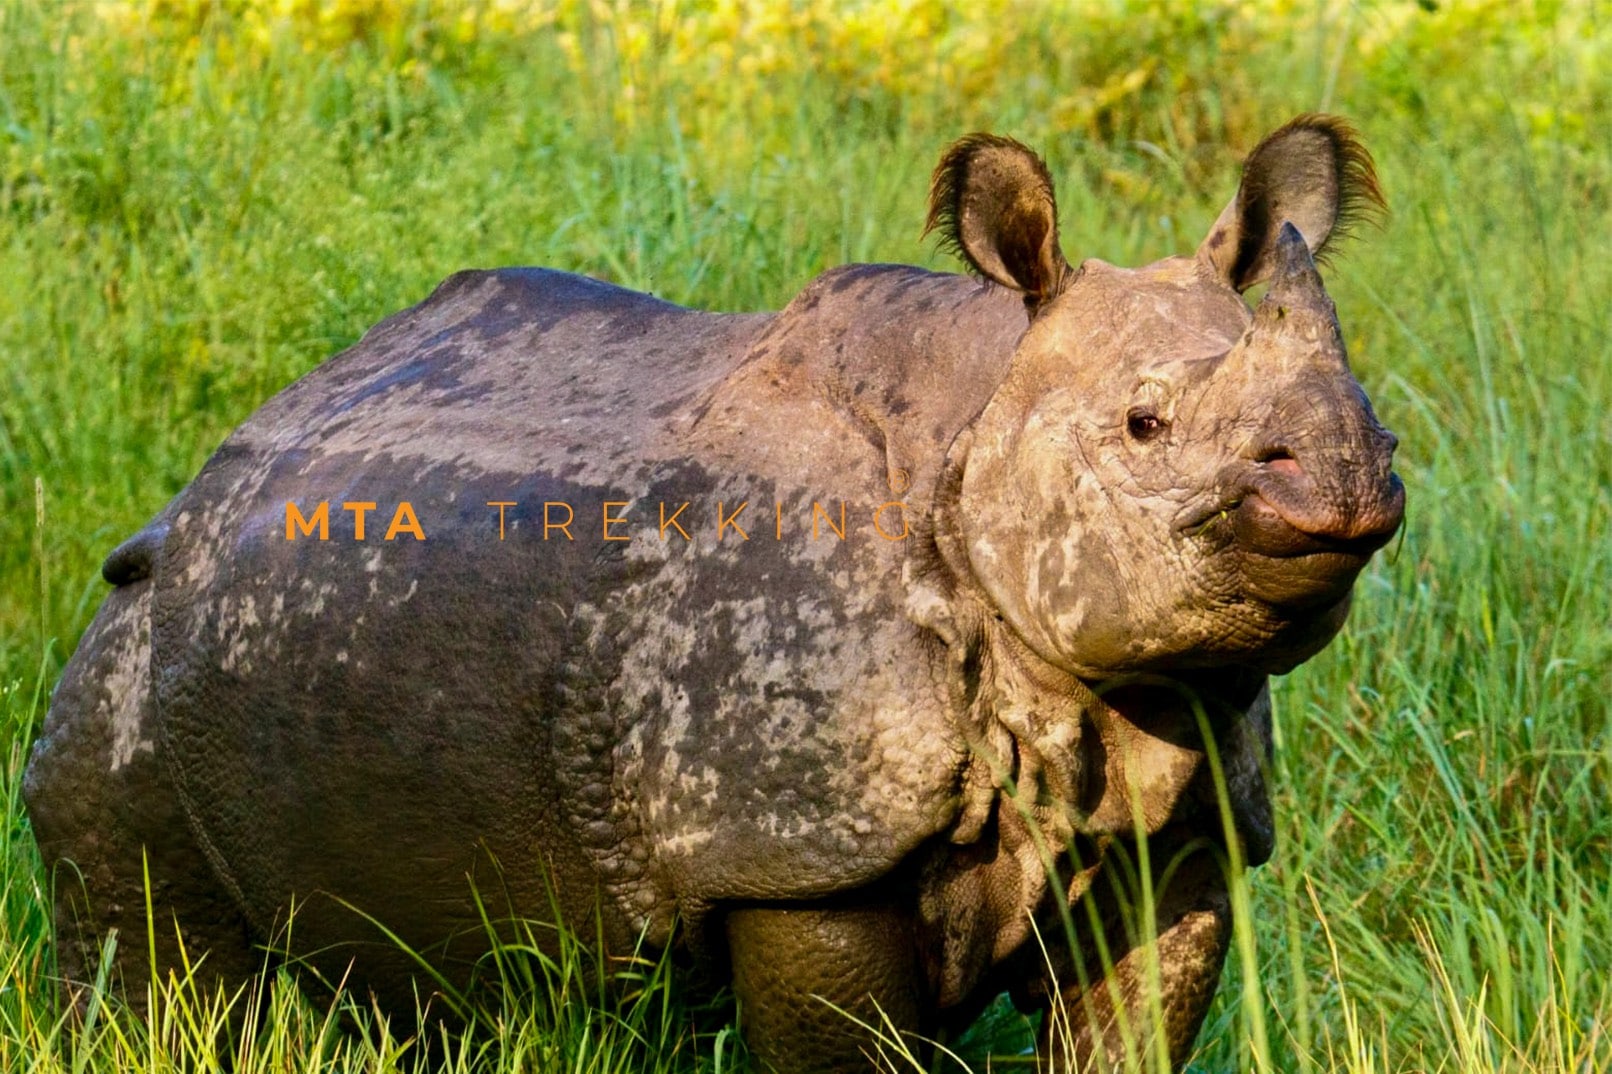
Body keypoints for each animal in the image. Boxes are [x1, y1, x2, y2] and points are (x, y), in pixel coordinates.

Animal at [26, 115, 1403, 1072]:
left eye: (1381, 423)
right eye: (1142, 425)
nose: (1343, 483)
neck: (976, 422)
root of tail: (197, 480)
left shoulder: (1178, 831)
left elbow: (1131, 1026)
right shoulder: (794, 844)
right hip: (131, 638)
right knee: (158, 956)